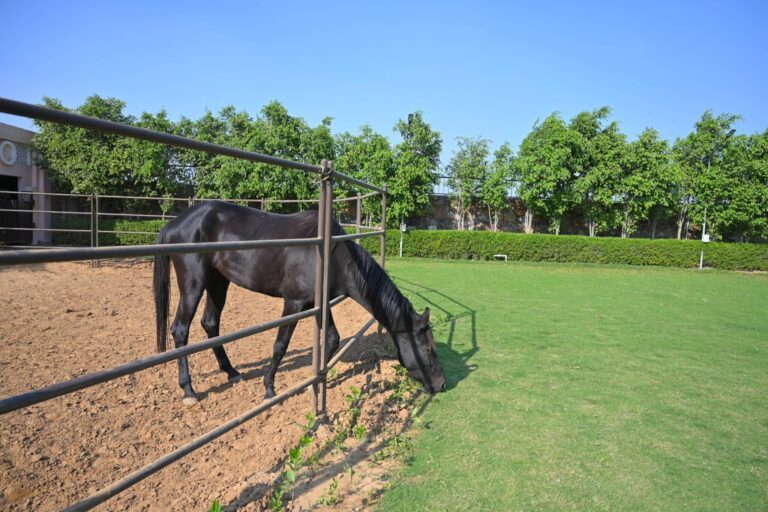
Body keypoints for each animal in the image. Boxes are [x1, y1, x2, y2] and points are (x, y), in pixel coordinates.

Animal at [153, 200, 446, 404]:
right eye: (428, 348)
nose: (443, 384)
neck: (330, 254)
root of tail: (174, 223)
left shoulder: (320, 303)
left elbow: (333, 339)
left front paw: (319, 377)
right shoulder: (293, 303)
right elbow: (280, 345)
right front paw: (269, 387)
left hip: (218, 281)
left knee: (210, 323)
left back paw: (231, 372)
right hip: (194, 282)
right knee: (180, 329)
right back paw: (189, 390)